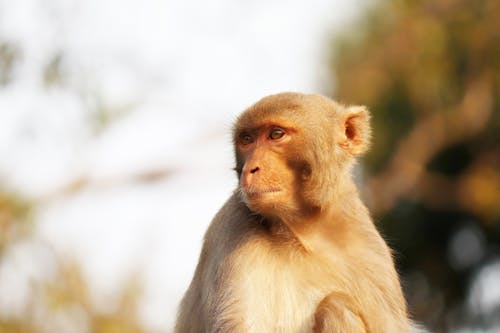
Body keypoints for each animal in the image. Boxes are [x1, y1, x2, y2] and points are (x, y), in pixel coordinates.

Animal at [175, 92, 410, 330]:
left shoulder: (369, 251)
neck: (303, 233)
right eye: (247, 139)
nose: (250, 168)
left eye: (276, 134)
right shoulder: (233, 226)